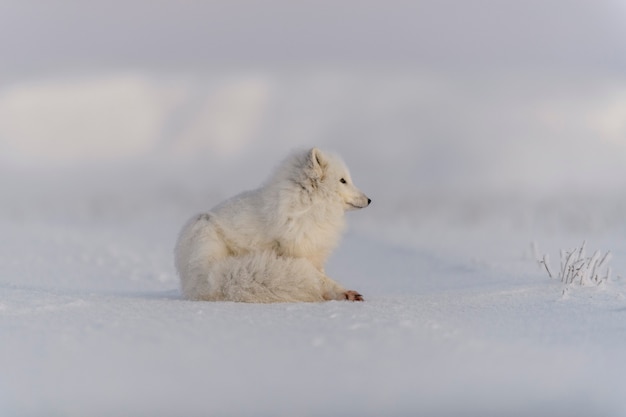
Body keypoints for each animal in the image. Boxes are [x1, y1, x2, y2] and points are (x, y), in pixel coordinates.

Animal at [174, 149, 370, 302]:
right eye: (343, 180)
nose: (369, 200)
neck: (308, 209)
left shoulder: (313, 252)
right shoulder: (295, 252)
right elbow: (321, 279)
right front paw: (342, 292)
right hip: (203, 226)